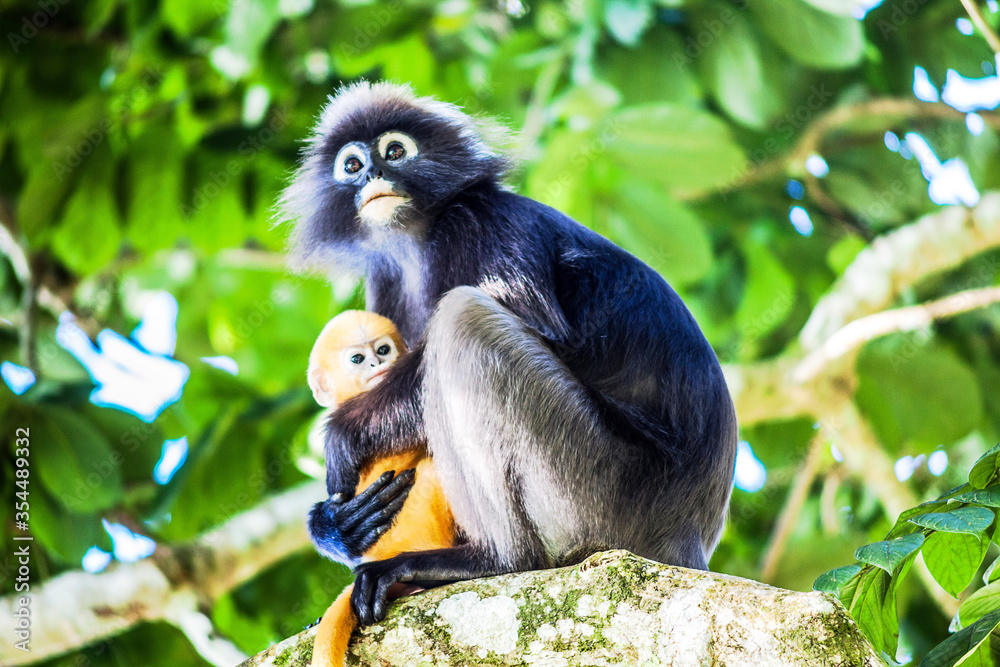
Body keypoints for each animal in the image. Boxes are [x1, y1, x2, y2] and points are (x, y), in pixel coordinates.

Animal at [281, 81, 738, 627]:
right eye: (352, 165)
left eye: (394, 152)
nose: (373, 174)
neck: (417, 238)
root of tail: (687, 536)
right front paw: (330, 523)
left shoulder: (481, 222)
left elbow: (531, 323)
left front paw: (343, 436)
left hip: (606, 491)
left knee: (464, 320)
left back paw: (491, 561)